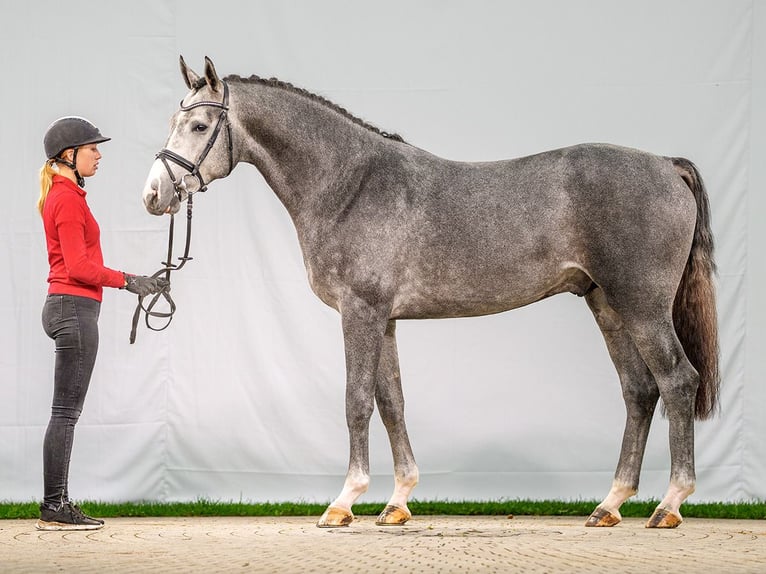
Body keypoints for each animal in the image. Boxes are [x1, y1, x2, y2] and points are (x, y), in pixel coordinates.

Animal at [140, 57, 720, 532]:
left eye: (198, 125)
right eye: (173, 121)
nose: (153, 195)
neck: (351, 184)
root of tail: (666, 165)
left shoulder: (360, 312)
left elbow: (356, 400)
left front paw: (343, 503)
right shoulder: (386, 318)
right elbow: (392, 402)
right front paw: (397, 502)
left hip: (643, 306)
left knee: (677, 381)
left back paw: (669, 504)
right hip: (607, 304)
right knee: (639, 391)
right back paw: (610, 505)